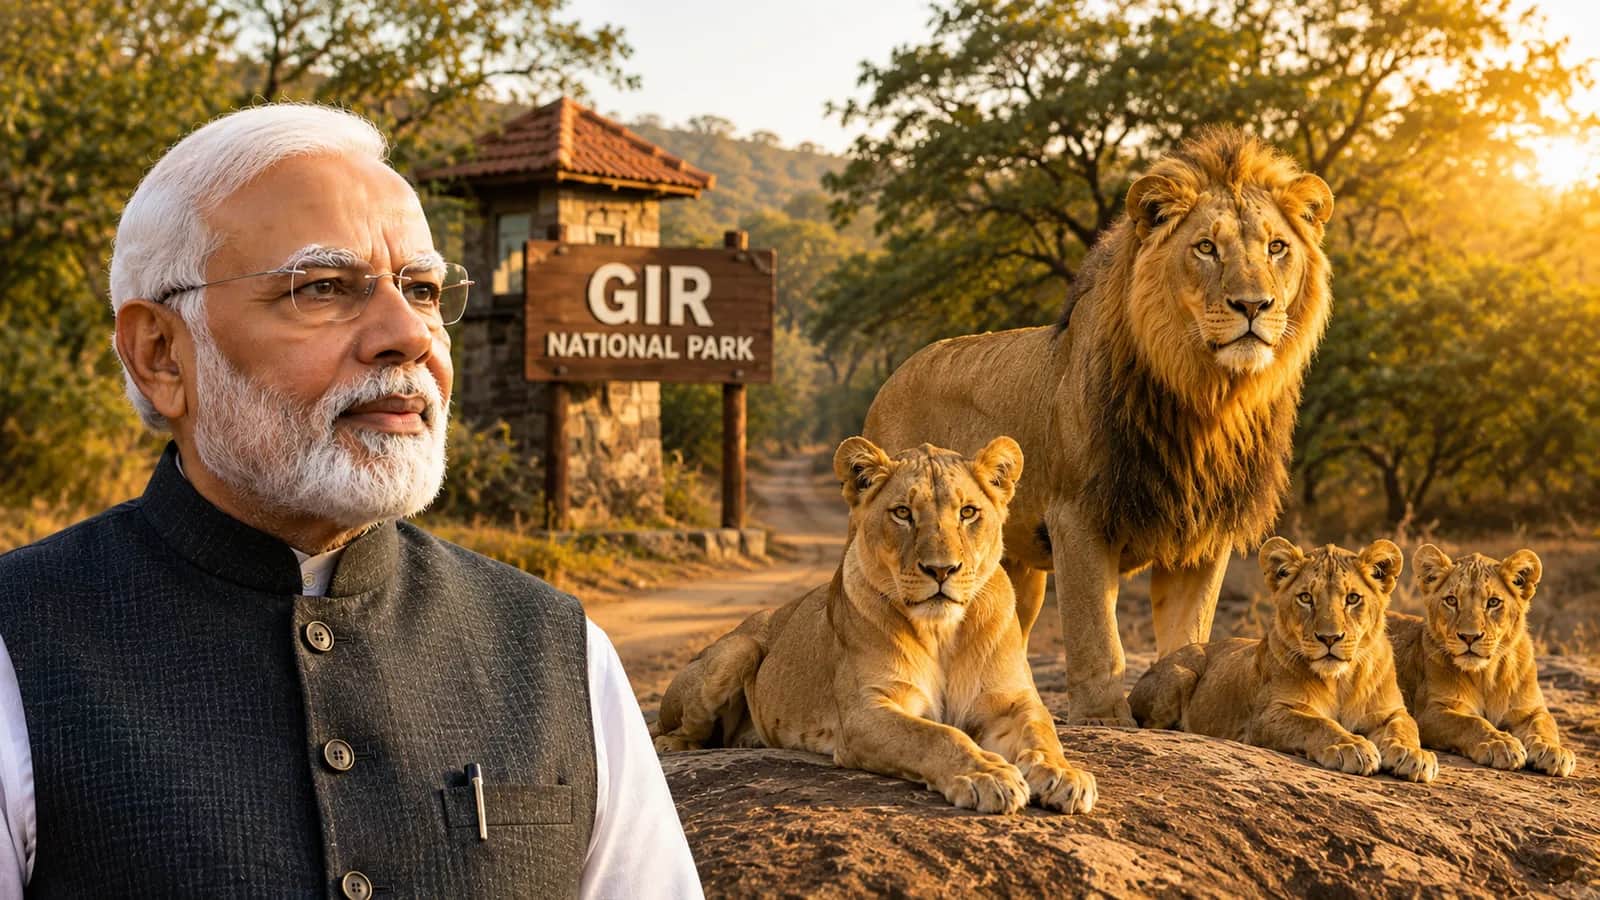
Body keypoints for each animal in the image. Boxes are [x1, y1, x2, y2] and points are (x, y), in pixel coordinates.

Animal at [650, 436, 1097, 814]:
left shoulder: (1010, 700)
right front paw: (987, 774)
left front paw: (1064, 775)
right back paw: (671, 744)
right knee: (675, 729)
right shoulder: (867, 712)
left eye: (968, 512)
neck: (942, 633)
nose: (941, 570)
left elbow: (1042, 731)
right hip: (735, 651)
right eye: (903, 513)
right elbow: (937, 735)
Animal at [863, 128, 1335, 724]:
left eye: (1277, 248)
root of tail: (893, 375)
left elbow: (1189, 637)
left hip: (1014, 570)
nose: (1253, 305)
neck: (1207, 399)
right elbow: (1097, 635)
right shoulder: (1079, 516)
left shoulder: (1207, 533)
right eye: (1206, 247)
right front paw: (1105, 717)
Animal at [1128, 537, 1437, 782]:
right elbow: (1316, 723)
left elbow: (1405, 726)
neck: (1341, 681)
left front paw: (1414, 754)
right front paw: (1350, 746)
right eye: (1306, 598)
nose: (1329, 638)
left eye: (1352, 598)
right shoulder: (1267, 715)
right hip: (1180, 676)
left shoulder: (1391, 710)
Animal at [1387, 544, 1576, 776]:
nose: (1469, 637)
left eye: (1493, 602)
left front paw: (1552, 750)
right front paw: (1501, 743)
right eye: (1451, 600)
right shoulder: (1431, 711)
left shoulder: (1531, 709)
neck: (1487, 674)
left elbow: (1544, 724)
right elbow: (1471, 722)